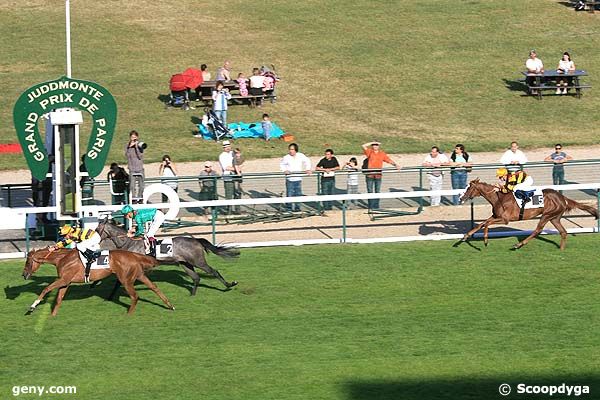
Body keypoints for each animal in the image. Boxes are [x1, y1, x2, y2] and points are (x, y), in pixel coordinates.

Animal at [22, 247, 175, 316]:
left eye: (28, 262)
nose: (24, 275)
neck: (62, 258)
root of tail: (134, 255)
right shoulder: (66, 282)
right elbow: (59, 299)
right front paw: (52, 316)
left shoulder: (64, 279)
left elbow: (46, 289)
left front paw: (32, 306)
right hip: (139, 275)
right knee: (154, 287)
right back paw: (170, 306)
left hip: (126, 280)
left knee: (135, 296)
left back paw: (128, 314)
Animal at [95, 217, 238, 296]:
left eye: (97, 229)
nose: (92, 238)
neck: (129, 243)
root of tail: (196, 240)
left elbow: (119, 282)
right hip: (186, 264)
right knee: (196, 278)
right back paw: (192, 295)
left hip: (198, 262)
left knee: (214, 271)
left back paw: (229, 284)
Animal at [460, 179, 596, 250]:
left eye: (468, 188)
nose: (461, 198)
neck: (498, 197)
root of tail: (563, 197)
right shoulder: (496, 216)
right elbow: (482, 224)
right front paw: (465, 236)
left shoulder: (505, 219)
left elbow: (487, 223)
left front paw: (485, 241)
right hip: (554, 218)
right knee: (563, 232)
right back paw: (561, 249)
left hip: (546, 215)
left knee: (538, 230)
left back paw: (519, 244)